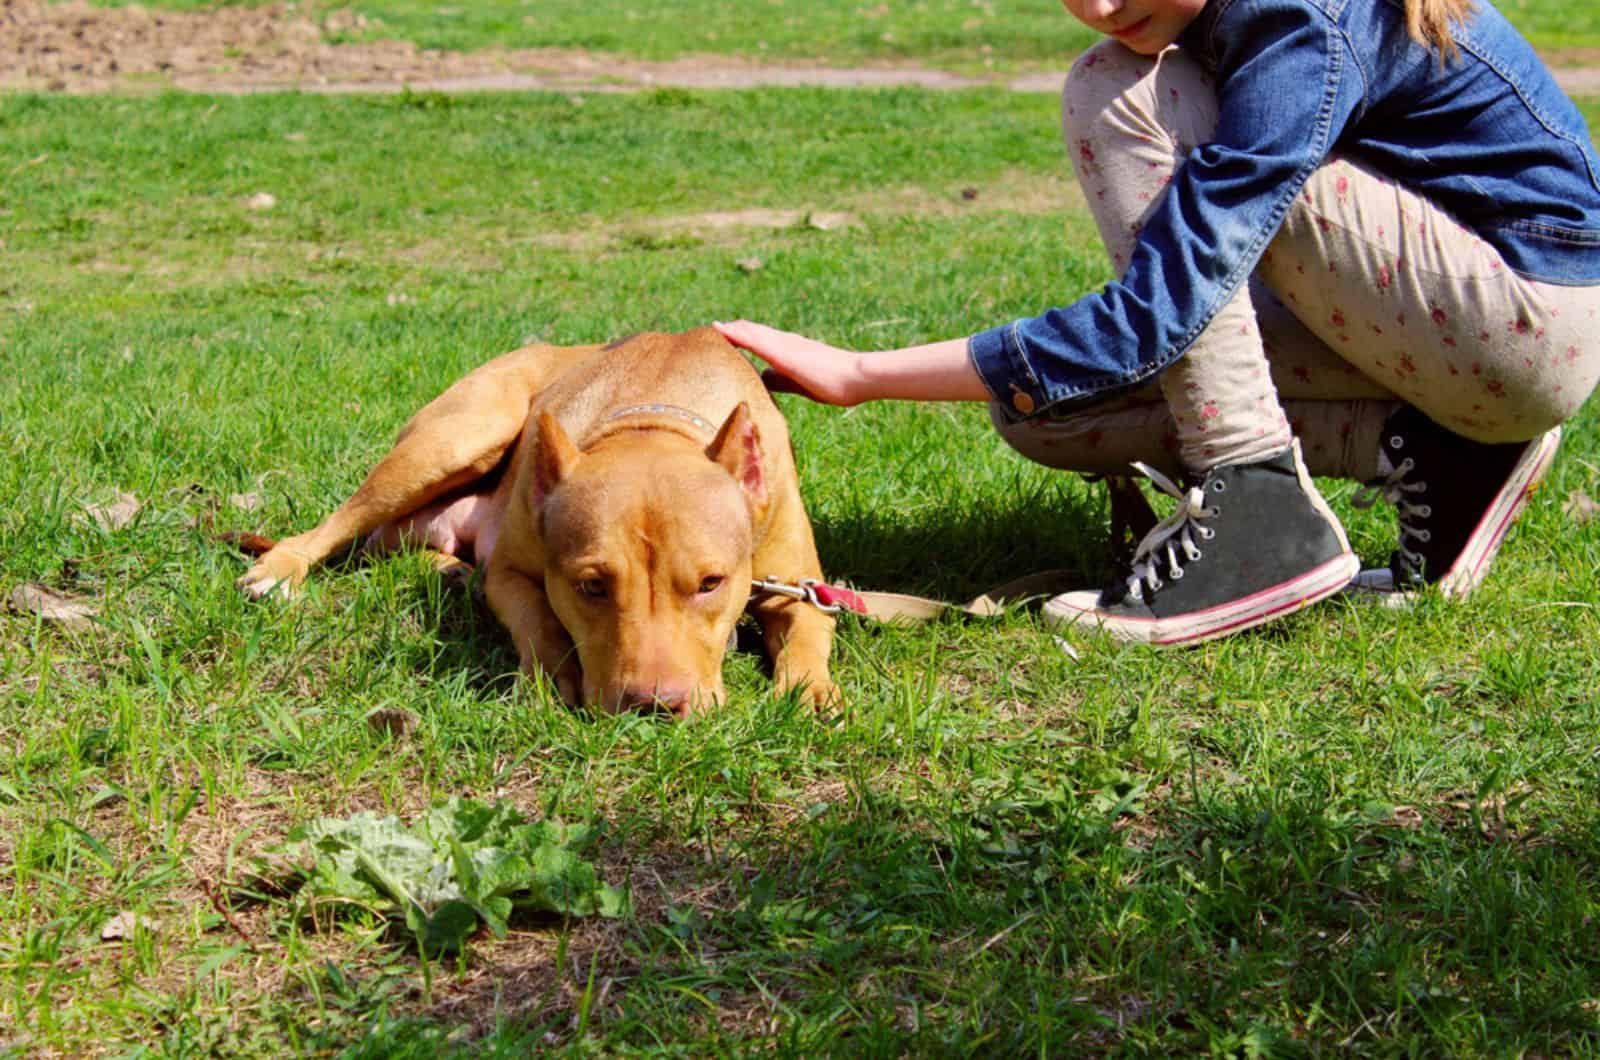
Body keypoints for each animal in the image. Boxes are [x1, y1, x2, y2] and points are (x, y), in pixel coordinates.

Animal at [240, 328, 838, 717]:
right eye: (590, 586)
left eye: (711, 584)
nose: (654, 705)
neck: (652, 420)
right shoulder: (511, 572)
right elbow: (538, 619)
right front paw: (554, 674)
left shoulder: (802, 588)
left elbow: (808, 635)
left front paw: (810, 691)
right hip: (461, 435)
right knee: (338, 528)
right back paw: (280, 569)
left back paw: (449, 571)